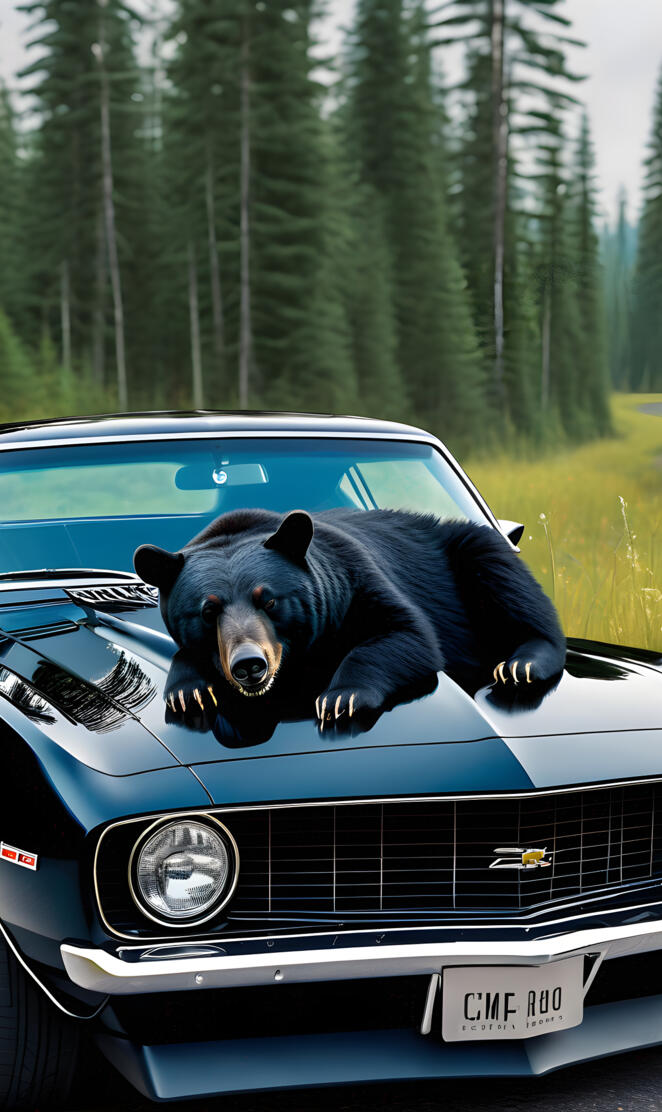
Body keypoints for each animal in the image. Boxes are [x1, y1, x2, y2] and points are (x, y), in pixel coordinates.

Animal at [133, 507, 566, 729]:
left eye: (268, 600)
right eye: (208, 611)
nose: (250, 665)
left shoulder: (356, 578)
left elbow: (408, 633)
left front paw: (342, 697)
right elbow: (185, 659)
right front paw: (189, 690)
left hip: (473, 551)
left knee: (514, 591)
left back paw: (521, 665)